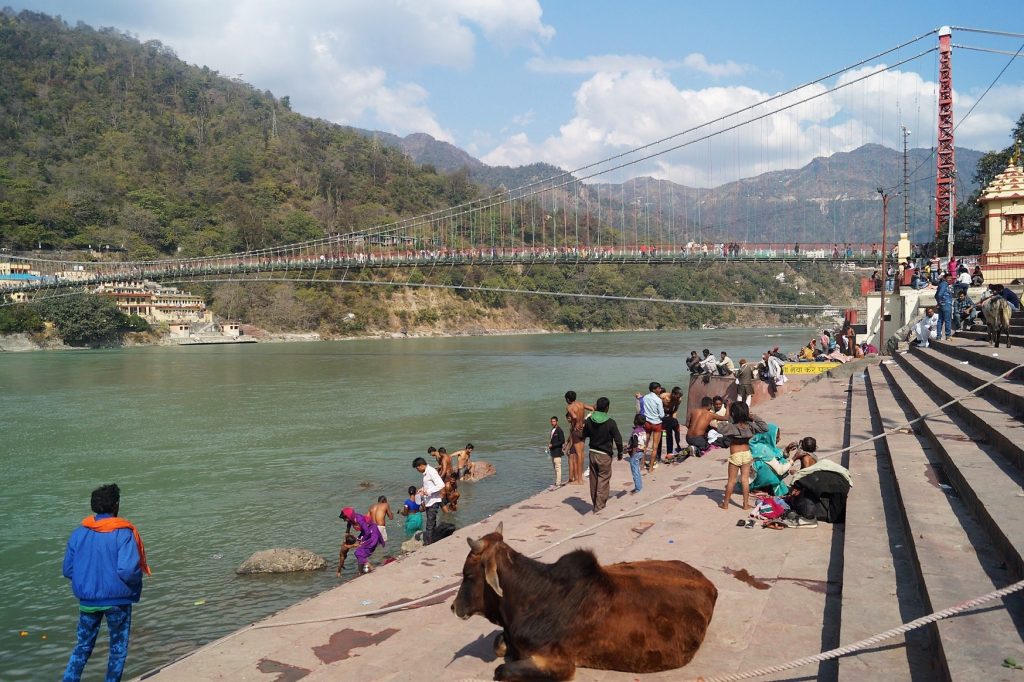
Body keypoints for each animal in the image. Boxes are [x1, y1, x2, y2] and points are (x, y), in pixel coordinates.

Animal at [452, 522, 716, 675]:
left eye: (467, 574)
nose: (454, 607)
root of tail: (709, 583)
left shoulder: (559, 663)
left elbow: (501, 670)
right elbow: (497, 644)